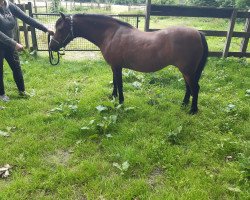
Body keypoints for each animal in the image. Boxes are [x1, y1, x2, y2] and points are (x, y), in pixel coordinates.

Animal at [49, 12, 208, 114]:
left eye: (61, 29)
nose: (52, 47)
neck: (110, 34)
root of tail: (198, 33)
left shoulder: (117, 66)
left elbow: (119, 83)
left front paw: (120, 102)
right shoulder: (114, 66)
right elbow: (114, 81)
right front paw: (113, 97)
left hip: (188, 71)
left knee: (195, 88)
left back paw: (192, 110)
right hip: (187, 71)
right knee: (188, 88)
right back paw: (184, 104)